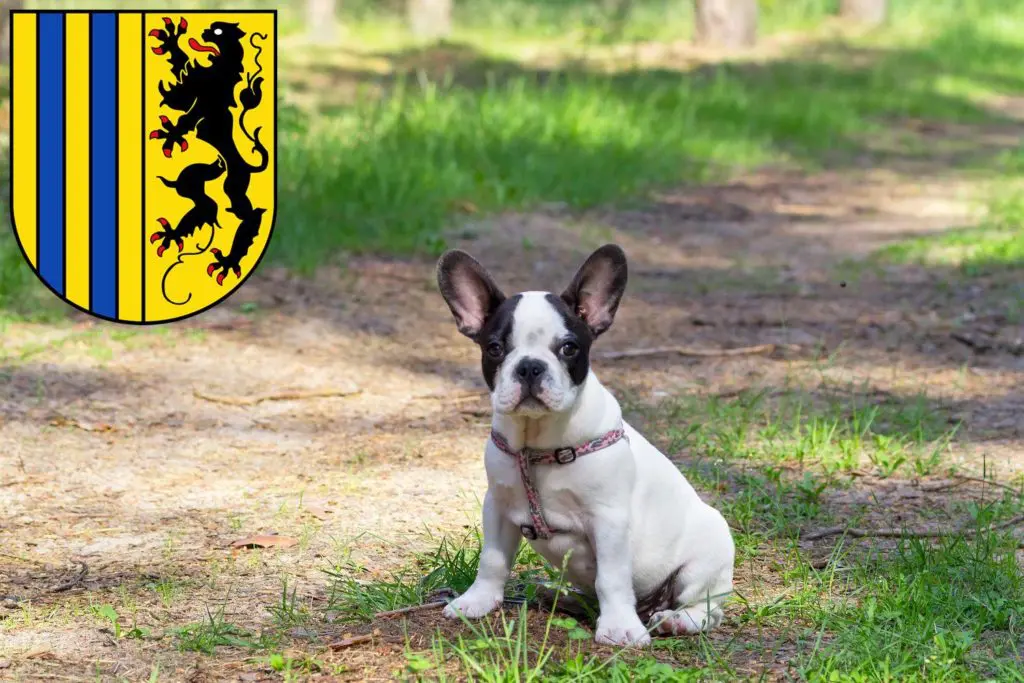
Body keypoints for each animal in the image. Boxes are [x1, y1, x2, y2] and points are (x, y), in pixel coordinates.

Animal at [148, 17, 270, 294]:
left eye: (218, 30)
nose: (204, 30)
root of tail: (248, 166)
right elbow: (181, 70)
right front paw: (172, 40)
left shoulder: (202, 102)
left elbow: (185, 118)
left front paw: (170, 134)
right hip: (198, 175)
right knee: (202, 203)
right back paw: (172, 235)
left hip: (231, 186)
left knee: (243, 213)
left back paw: (228, 260)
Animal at [436, 245, 733, 647]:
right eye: (495, 348)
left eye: (569, 348)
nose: (530, 366)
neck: (537, 445)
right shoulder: (496, 506)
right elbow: (493, 560)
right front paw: (478, 601)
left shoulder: (609, 520)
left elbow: (611, 578)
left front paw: (619, 627)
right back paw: (559, 594)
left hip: (708, 556)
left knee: (705, 608)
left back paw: (677, 620)